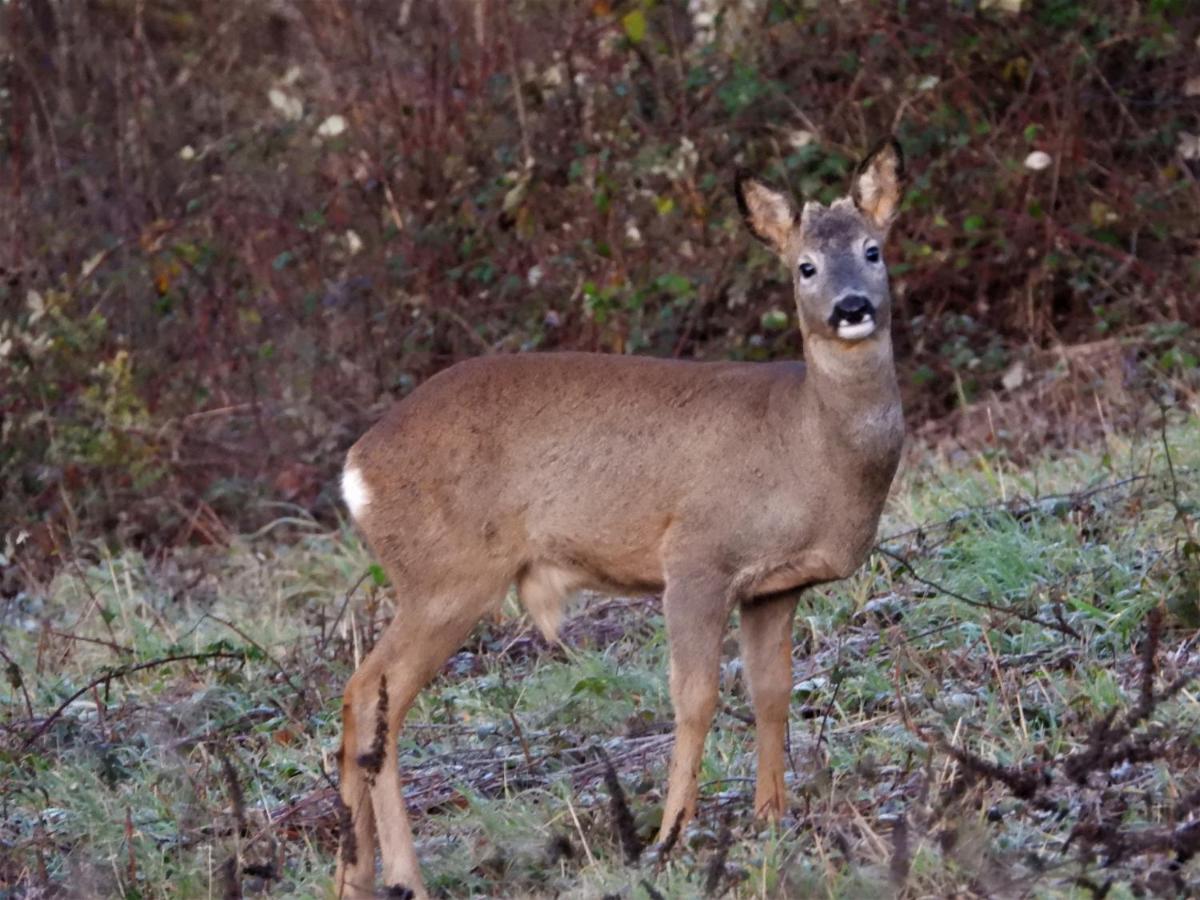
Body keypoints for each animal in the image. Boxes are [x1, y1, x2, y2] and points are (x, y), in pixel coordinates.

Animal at [333, 137, 902, 897]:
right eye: (805, 265)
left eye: (873, 250)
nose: (851, 307)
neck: (807, 443)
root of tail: (356, 466)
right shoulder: (696, 557)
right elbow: (694, 696)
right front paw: (669, 836)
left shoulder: (775, 586)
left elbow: (772, 693)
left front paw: (772, 818)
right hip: (446, 576)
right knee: (373, 695)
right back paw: (406, 877)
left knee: (358, 697)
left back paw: (355, 877)